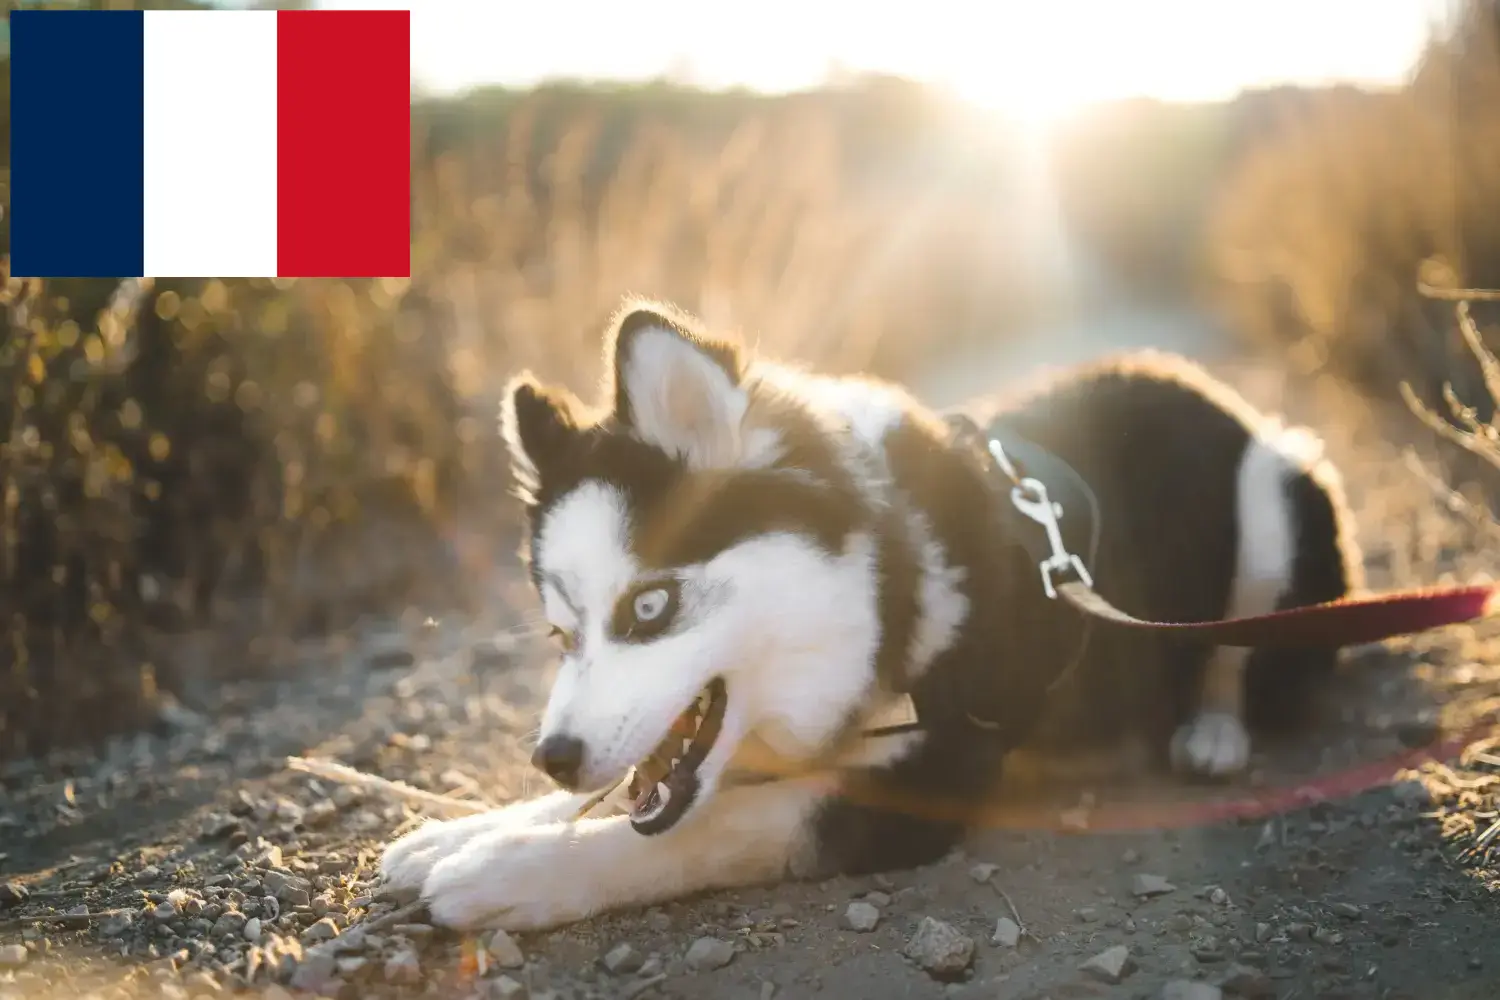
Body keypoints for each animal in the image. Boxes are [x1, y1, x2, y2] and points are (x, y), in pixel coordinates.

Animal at [375, 296, 1362, 929]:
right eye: (560, 632)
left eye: (650, 604)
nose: (552, 756)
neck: (881, 585)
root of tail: (1196, 382)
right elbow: (642, 796)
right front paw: (468, 830)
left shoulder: (944, 766)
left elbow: (709, 827)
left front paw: (512, 870)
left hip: (1278, 487)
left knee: (1236, 649)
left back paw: (1212, 730)